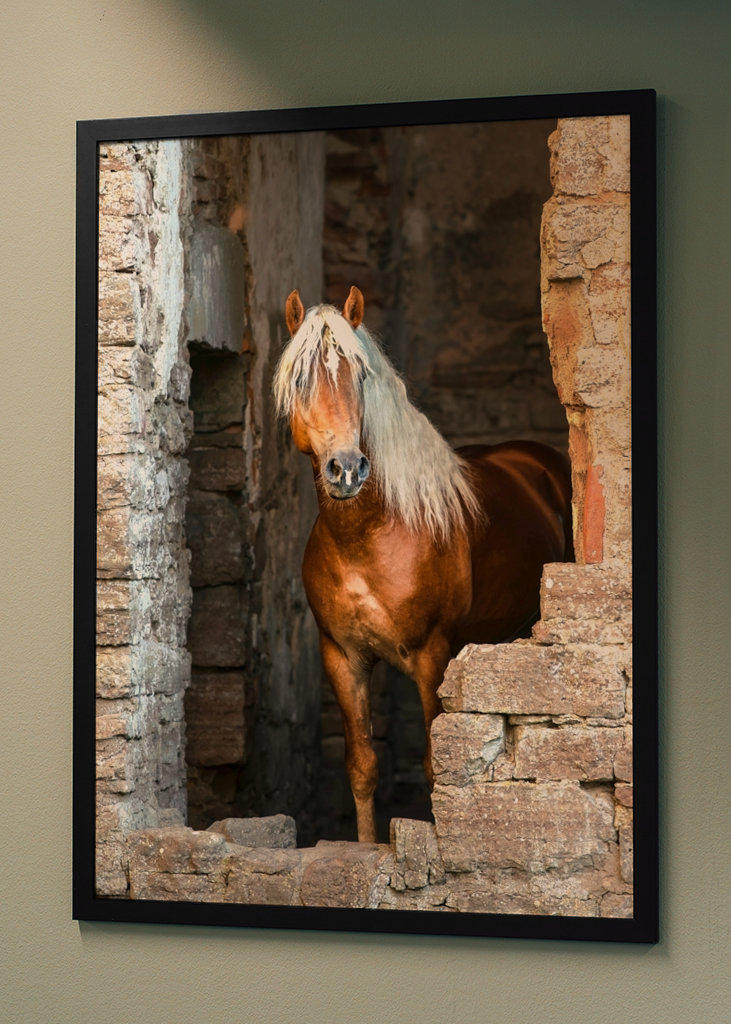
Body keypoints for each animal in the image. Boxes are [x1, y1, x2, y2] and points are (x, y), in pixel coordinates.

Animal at [274, 286, 573, 843]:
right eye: (300, 378)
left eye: (361, 375)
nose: (347, 469)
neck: (368, 536)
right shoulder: (342, 658)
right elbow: (362, 766)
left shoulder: (432, 656)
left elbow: (439, 766)